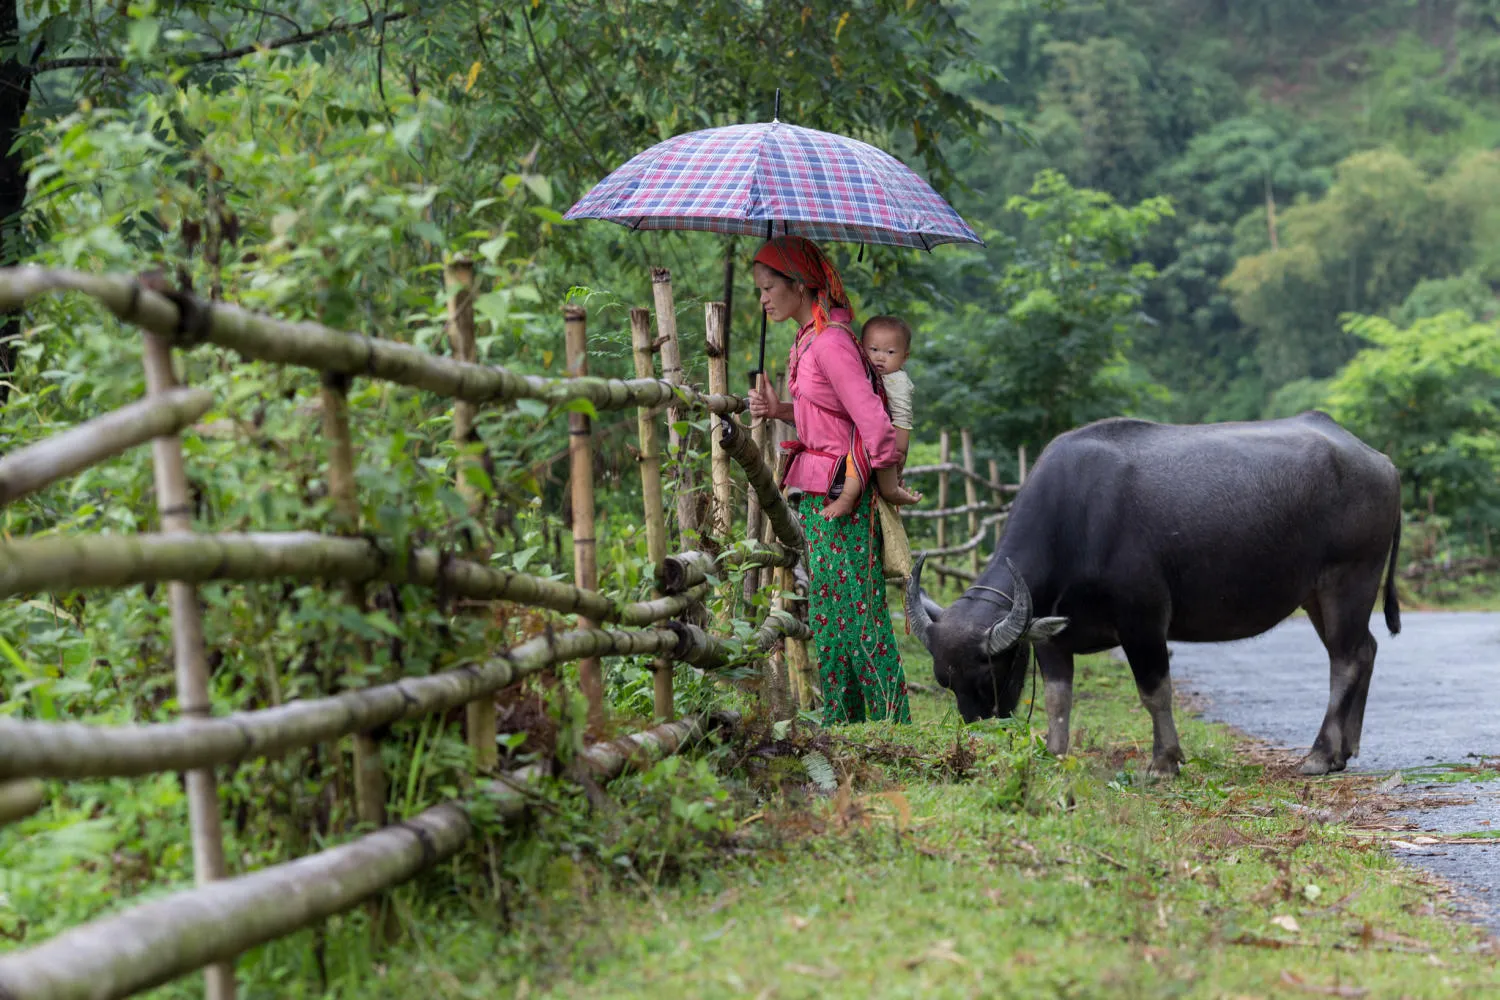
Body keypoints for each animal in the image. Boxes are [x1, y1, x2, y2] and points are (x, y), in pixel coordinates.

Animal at [900, 410, 1404, 779]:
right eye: (945, 681)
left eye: (988, 675)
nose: (978, 736)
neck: (1078, 520)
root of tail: (1381, 462)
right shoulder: (1051, 637)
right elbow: (1058, 699)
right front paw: (1056, 755)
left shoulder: (1143, 621)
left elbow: (1154, 691)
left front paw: (1164, 763)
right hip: (1316, 594)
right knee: (1365, 650)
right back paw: (1345, 749)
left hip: (1348, 581)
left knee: (1346, 660)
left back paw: (1319, 755)